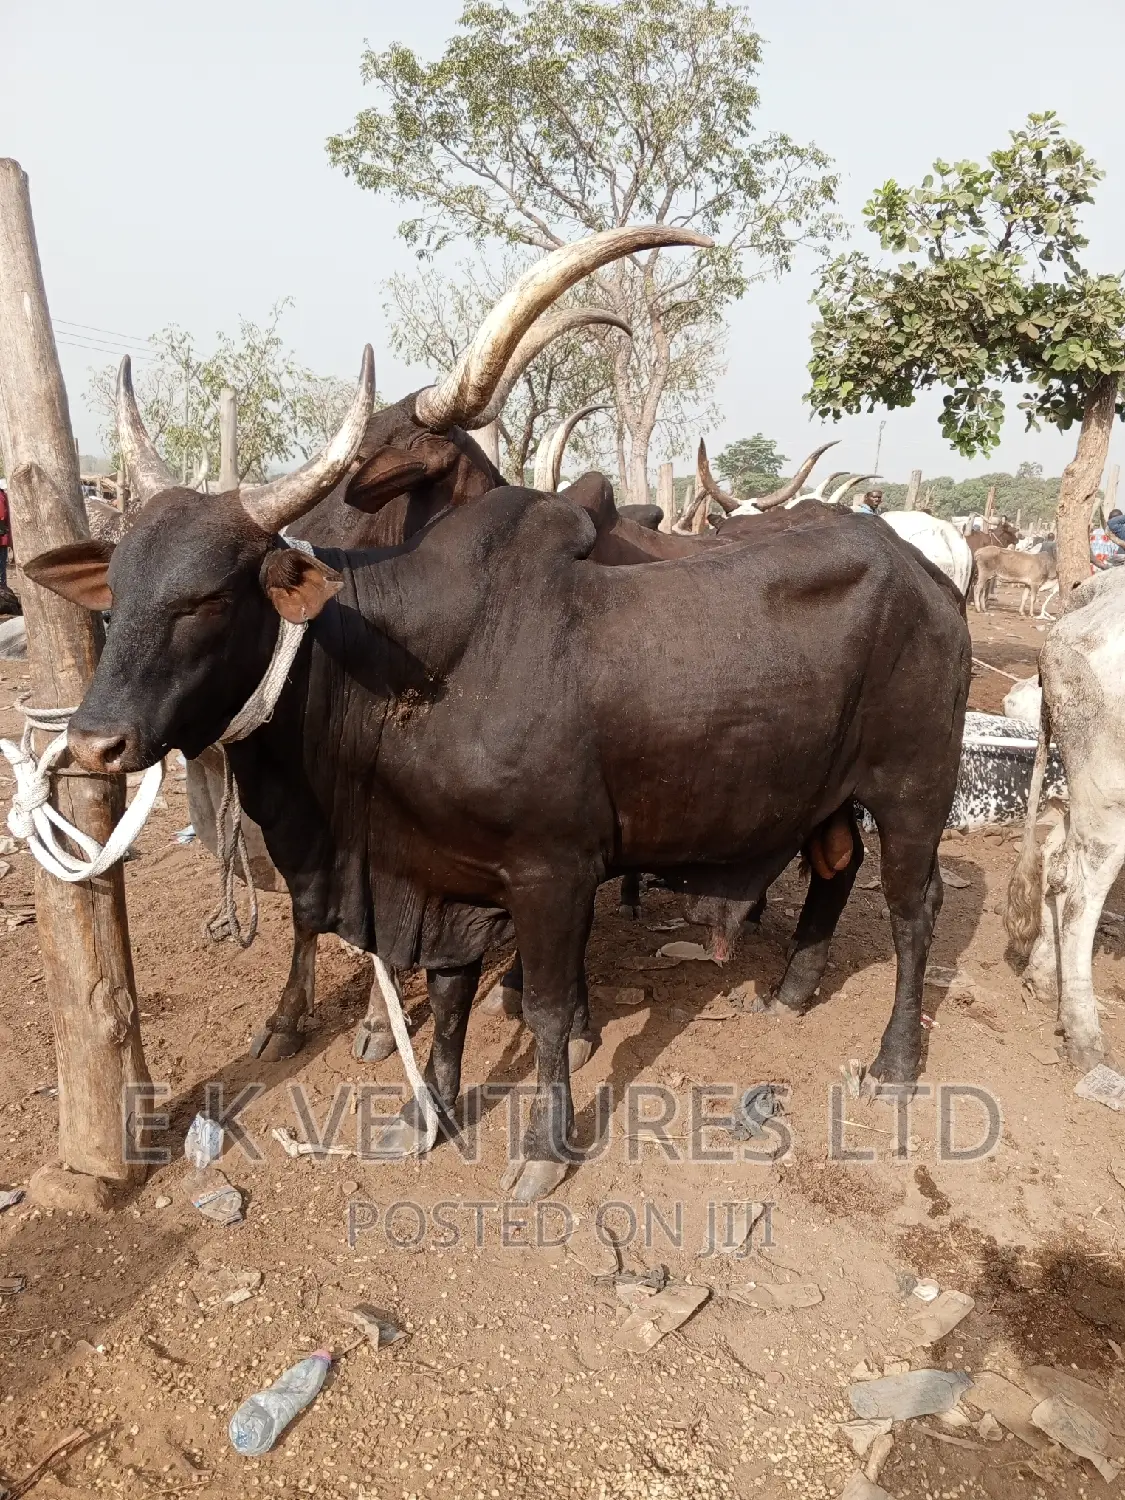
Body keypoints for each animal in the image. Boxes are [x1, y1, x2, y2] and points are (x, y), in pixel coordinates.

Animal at [28, 348, 970, 1203]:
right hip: (829, 794)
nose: (94, 742)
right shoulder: (438, 875)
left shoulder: (553, 872)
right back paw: (793, 989)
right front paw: (427, 1114)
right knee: (836, 865)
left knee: (913, 910)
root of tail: (928, 571)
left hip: (914, 792)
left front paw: (546, 1148)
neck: (402, 669)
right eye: (116, 589)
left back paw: (894, 1060)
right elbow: (445, 997)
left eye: (210, 598)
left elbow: (548, 1011)